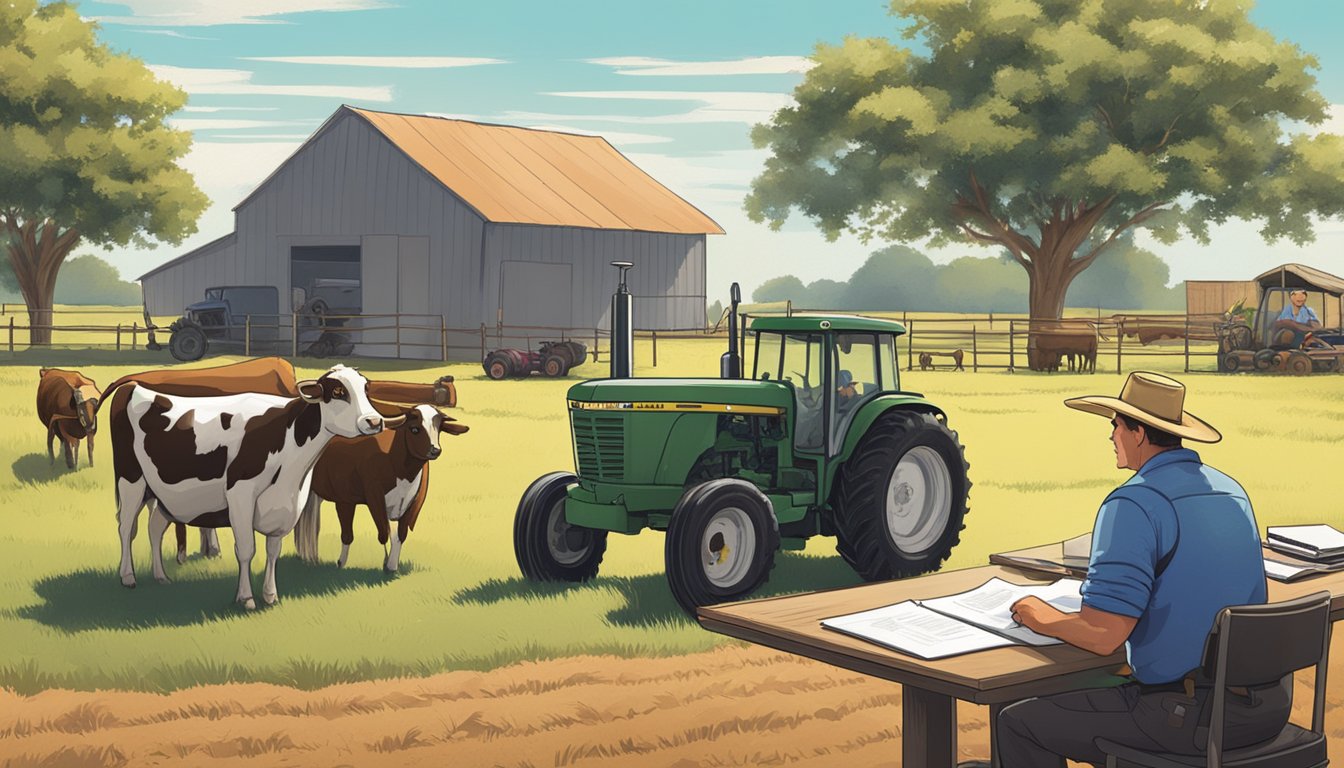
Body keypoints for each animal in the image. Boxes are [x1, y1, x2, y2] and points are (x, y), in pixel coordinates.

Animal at [297, 403, 470, 570]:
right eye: (414, 429)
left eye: (439, 428)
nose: (435, 450)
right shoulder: (360, 498)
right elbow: (376, 534)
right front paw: (344, 563)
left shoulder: (410, 502)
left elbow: (400, 535)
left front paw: (392, 566)